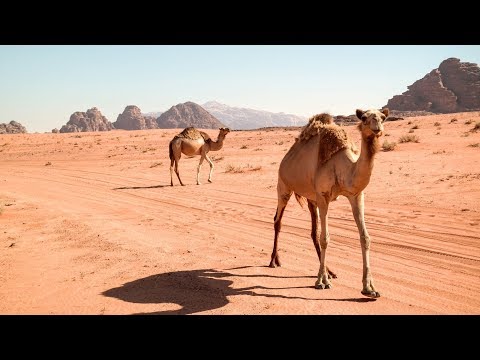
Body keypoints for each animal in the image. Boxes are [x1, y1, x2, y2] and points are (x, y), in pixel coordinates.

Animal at [270, 107, 390, 298]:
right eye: (364, 117)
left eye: (382, 117)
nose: (377, 128)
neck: (343, 165)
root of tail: (286, 158)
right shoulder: (323, 195)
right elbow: (325, 237)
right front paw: (322, 282)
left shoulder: (356, 195)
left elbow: (365, 237)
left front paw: (369, 288)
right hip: (283, 185)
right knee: (278, 221)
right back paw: (275, 261)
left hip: (310, 197)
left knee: (313, 231)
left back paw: (330, 271)